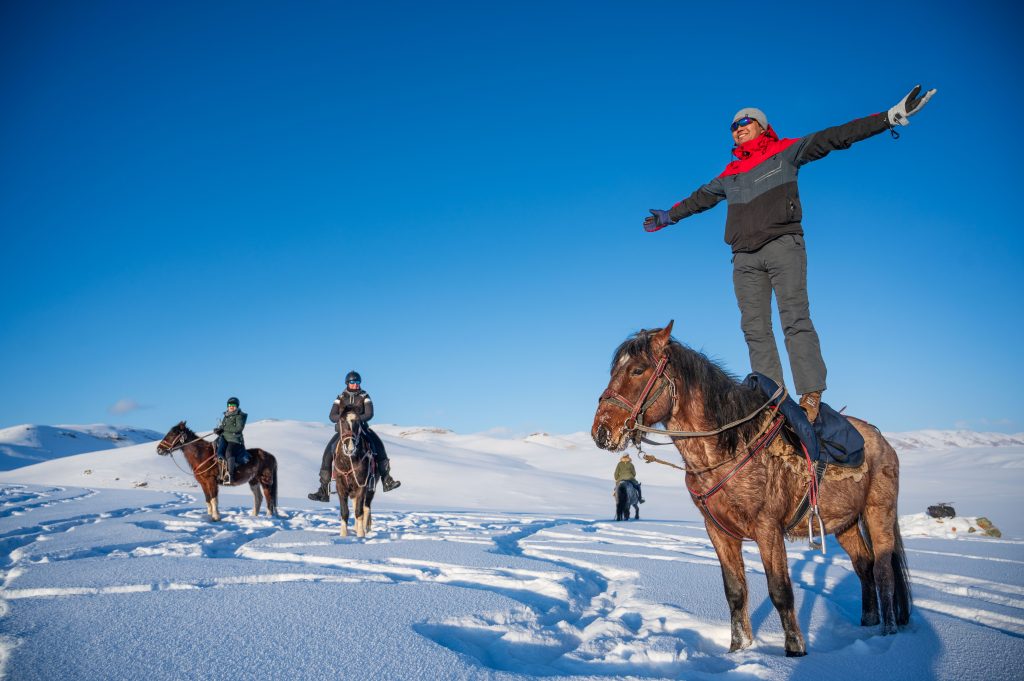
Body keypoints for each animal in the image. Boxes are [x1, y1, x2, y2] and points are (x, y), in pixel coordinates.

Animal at [591, 322, 910, 657]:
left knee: (883, 571)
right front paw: (739, 648)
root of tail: (881, 440)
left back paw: (887, 635)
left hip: (878, 513)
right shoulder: (718, 531)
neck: (727, 449)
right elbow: (735, 591)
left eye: (638, 370)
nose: (601, 431)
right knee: (863, 565)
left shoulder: (767, 528)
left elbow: (780, 590)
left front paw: (795, 651)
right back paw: (868, 622)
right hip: (844, 522)